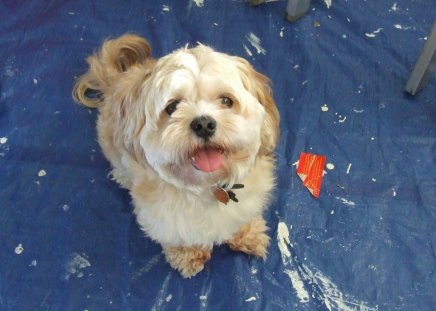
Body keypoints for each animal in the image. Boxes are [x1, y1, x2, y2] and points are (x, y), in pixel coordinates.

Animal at [73, 34, 280, 278]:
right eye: (171, 107)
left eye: (226, 101)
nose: (203, 124)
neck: (208, 186)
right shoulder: (163, 218)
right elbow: (179, 236)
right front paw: (188, 255)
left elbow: (241, 218)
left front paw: (248, 233)